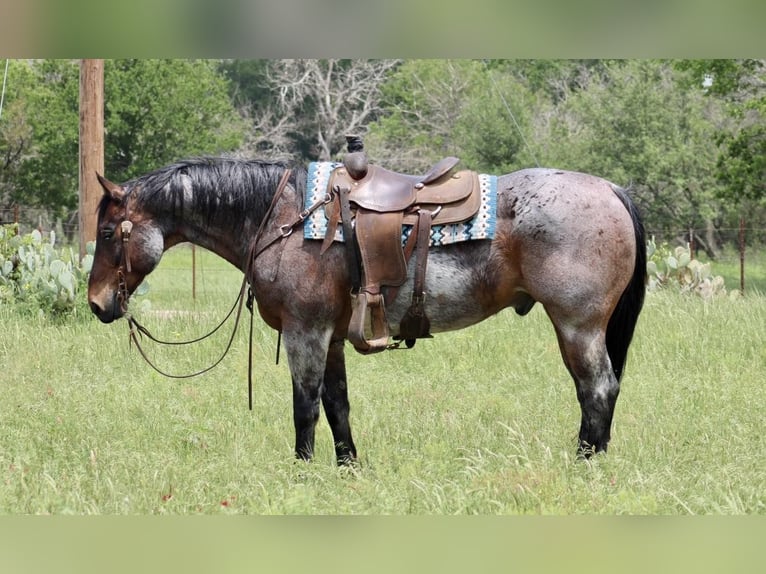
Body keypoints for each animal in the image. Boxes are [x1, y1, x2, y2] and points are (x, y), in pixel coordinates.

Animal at [87, 158, 644, 468]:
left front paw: (302, 472)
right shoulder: (330, 337)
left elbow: (305, 406)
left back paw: (585, 464)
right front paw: (347, 468)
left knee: (597, 389)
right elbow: (338, 406)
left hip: (577, 326)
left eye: (109, 232)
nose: (96, 303)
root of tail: (611, 189)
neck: (285, 219)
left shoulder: (305, 333)